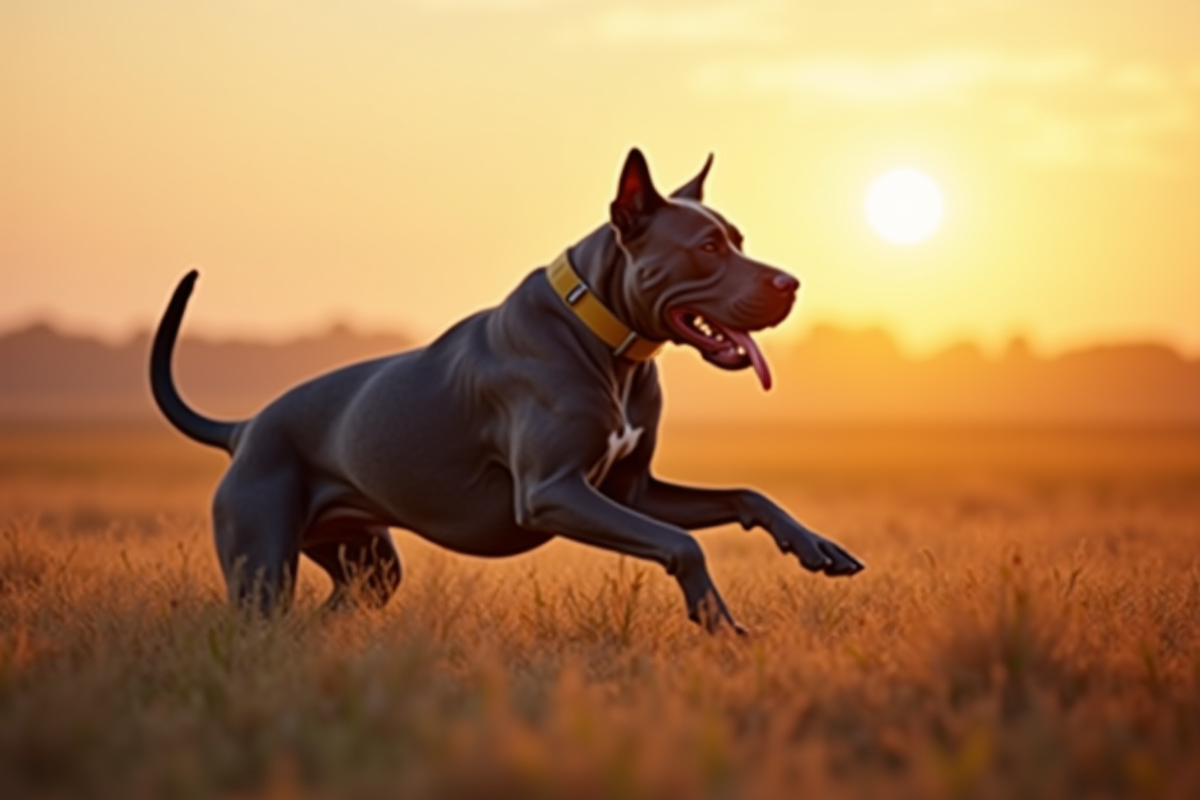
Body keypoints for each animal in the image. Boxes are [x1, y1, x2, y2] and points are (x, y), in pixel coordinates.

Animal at [152, 148, 864, 633]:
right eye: (709, 246)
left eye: (738, 239)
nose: (792, 284)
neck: (606, 339)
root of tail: (244, 428)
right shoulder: (553, 492)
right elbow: (683, 544)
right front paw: (719, 622)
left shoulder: (632, 491)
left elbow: (745, 494)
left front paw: (814, 546)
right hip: (263, 564)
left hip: (367, 562)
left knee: (337, 608)